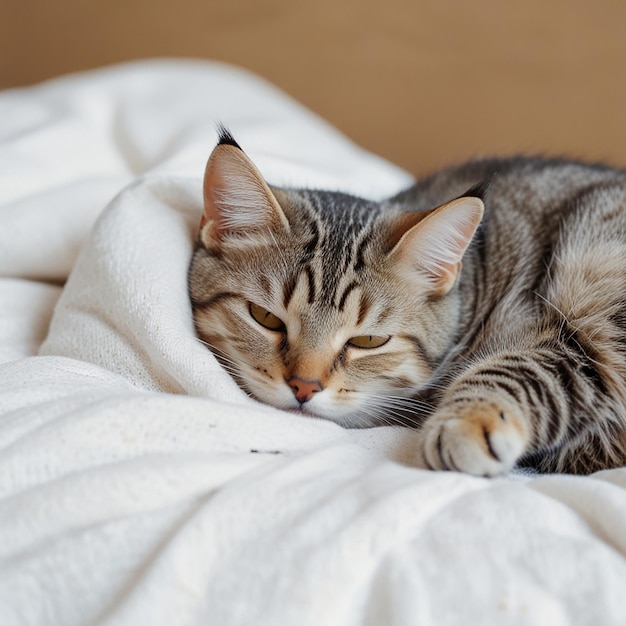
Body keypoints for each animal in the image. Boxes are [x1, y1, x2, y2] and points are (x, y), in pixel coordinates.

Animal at [188, 129, 624, 476]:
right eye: (265, 318)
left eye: (368, 341)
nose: (304, 387)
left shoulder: (582, 337)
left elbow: (527, 367)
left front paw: (469, 422)